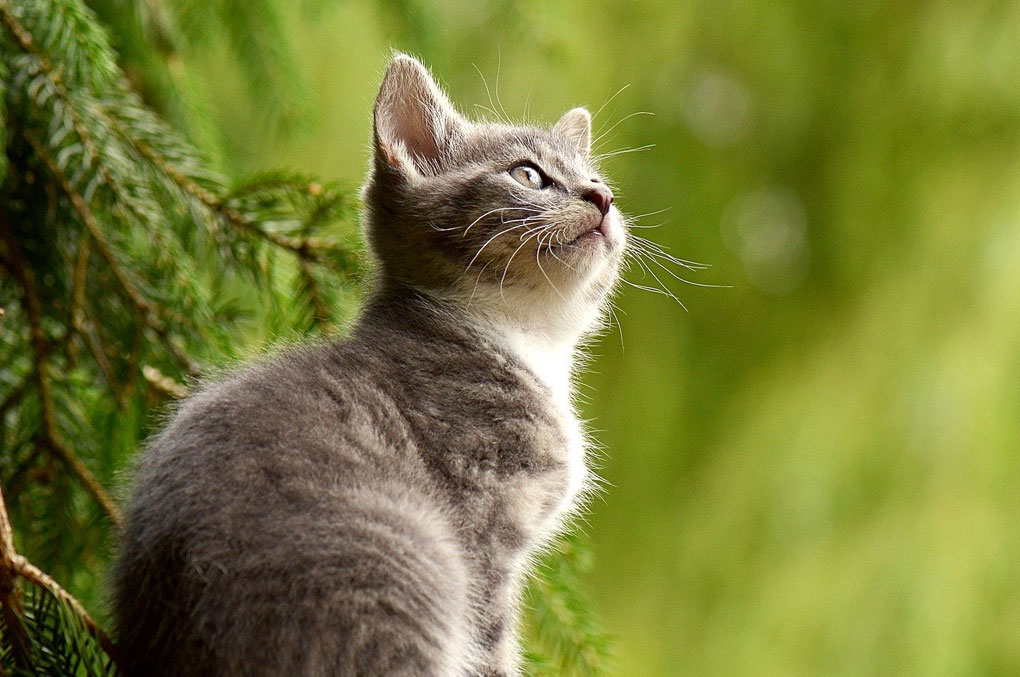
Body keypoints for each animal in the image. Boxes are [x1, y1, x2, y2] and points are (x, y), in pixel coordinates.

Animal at [113, 54, 628, 677]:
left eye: (597, 178)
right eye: (528, 175)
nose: (601, 197)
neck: (525, 340)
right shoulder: (481, 530)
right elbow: (492, 649)